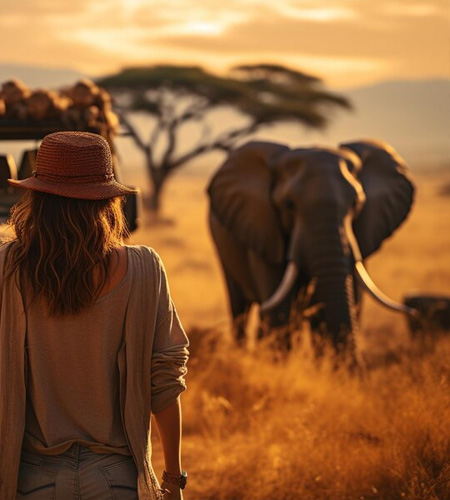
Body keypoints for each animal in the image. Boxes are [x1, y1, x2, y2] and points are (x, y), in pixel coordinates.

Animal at [207, 141, 418, 360]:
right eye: (289, 204)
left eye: (356, 203)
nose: (413, 312)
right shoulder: (264, 230)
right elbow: (280, 309)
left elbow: (344, 300)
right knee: (241, 308)